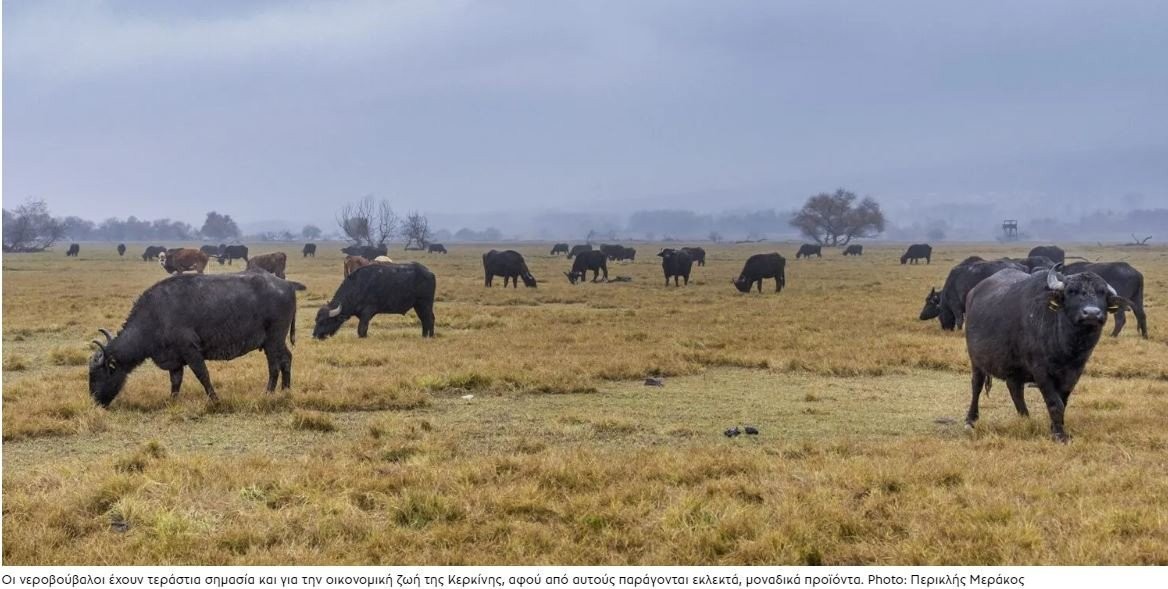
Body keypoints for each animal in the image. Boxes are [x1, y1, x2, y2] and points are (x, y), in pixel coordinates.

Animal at [87, 269, 306, 404]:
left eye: (96, 374)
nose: (94, 401)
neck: (155, 315)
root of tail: (287, 284)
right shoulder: (175, 360)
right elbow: (175, 382)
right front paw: (172, 401)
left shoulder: (191, 351)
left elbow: (203, 375)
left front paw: (215, 399)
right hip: (278, 341)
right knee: (287, 359)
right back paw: (286, 391)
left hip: (273, 340)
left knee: (274, 366)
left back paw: (268, 392)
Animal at [962, 267, 1125, 441]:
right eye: (1071, 291)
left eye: (1102, 293)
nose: (1092, 313)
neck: (1067, 347)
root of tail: (972, 293)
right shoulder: (1041, 371)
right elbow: (1055, 403)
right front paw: (1059, 435)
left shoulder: (1074, 373)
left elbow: (1063, 402)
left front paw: (1055, 427)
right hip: (976, 360)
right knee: (977, 385)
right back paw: (970, 420)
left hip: (1014, 367)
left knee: (1015, 389)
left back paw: (1025, 418)